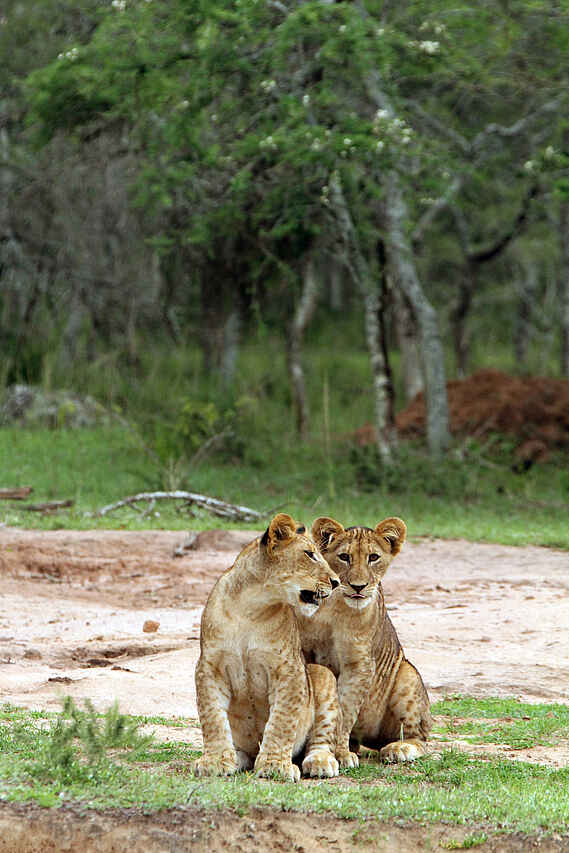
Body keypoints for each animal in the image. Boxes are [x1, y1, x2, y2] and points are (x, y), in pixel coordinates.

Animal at [194, 512, 342, 782]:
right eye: (309, 554)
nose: (336, 582)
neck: (251, 608)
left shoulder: (290, 670)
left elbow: (282, 721)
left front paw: (275, 765)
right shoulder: (209, 668)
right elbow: (212, 717)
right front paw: (216, 761)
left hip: (322, 676)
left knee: (322, 739)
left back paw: (320, 762)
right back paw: (236, 758)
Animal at [298, 516, 432, 767]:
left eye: (373, 557)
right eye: (344, 557)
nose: (358, 587)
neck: (335, 608)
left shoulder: (359, 665)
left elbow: (345, 711)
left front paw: (340, 754)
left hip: (407, 675)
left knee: (420, 738)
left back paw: (398, 749)